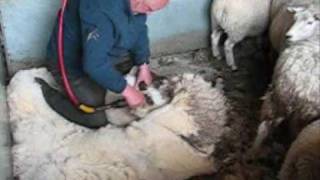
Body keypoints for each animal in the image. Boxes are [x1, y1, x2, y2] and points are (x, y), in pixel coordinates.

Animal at [252, 3, 320, 153]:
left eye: (310, 22)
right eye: (295, 18)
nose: (288, 36)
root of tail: (294, 80)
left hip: (276, 98)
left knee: (264, 127)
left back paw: (251, 153)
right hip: (304, 113)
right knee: (294, 134)